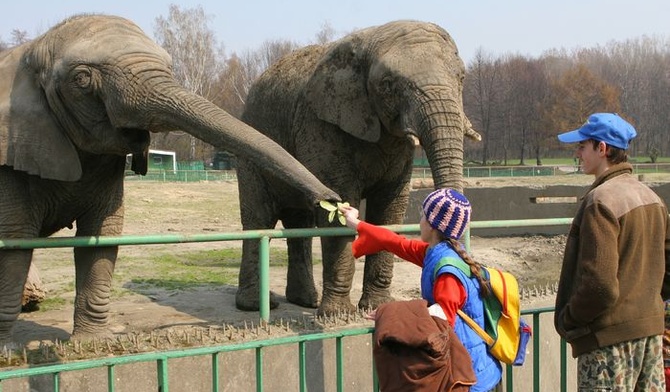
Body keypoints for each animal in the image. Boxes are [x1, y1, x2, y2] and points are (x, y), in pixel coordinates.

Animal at [0, 13, 338, 342]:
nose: (332, 199)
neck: (31, 50)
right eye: (81, 78)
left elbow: (100, 237)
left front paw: (91, 345)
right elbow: (15, 243)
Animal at [236, 20, 484, 316]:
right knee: (259, 218)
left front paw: (376, 306)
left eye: (462, 78)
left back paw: (305, 300)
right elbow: (338, 206)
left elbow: (390, 209)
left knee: (300, 222)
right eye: (388, 86)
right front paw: (338, 315)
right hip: (251, 149)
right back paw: (254, 306)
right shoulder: (321, 125)